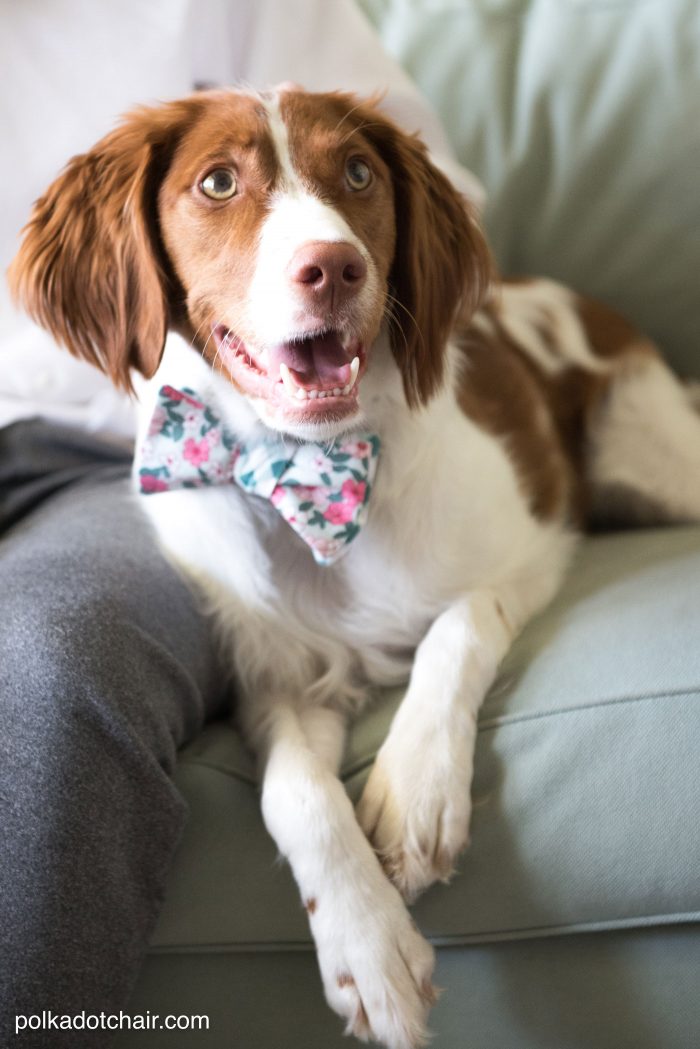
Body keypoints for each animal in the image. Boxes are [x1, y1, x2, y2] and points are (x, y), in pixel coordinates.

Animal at [9, 88, 700, 1049]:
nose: (332, 268)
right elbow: (293, 794)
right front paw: (370, 949)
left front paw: (414, 790)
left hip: (652, 458)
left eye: (361, 174)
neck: (308, 469)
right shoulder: (279, 679)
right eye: (217, 182)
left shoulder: (532, 542)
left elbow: (455, 627)